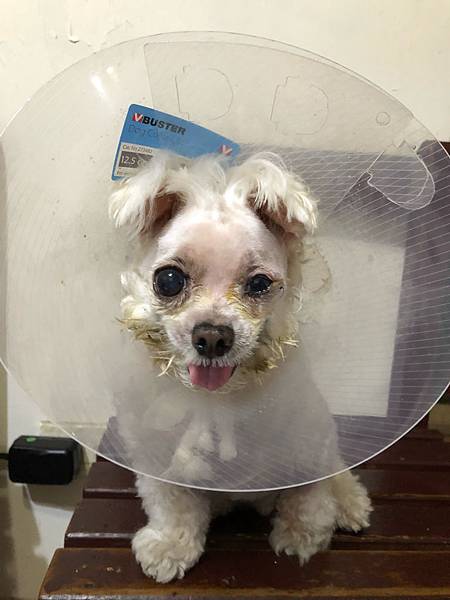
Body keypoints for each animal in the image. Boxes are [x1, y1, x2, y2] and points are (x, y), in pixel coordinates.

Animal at [109, 151, 372, 582]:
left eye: (260, 284)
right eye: (168, 279)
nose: (213, 336)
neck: (220, 402)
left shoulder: (307, 443)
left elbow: (309, 498)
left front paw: (301, 537)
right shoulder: (158, 455)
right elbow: (173, 505)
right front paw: (170, 546)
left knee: (337, 470)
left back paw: (349, 503)